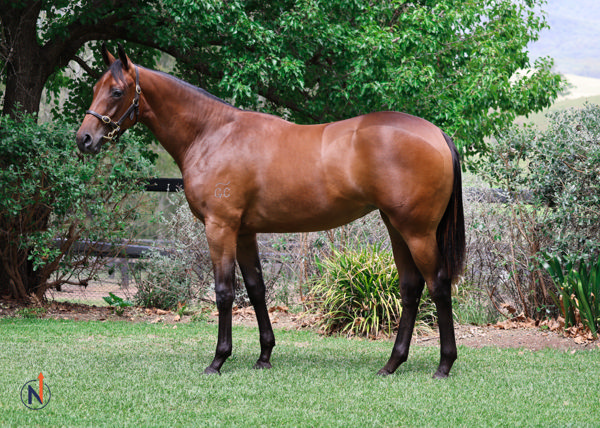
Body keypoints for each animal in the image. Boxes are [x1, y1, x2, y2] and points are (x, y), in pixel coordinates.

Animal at [76, 43, 464, 378]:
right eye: (95, 87)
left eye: (116, 91)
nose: (84, 139)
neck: (213, 134)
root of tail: (438, 134)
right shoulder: (244, 231)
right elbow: (256, 288)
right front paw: (264, 355)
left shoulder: (220, 227)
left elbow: (224, 291)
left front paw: (218, 360)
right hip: (397, 227)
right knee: (411, 288)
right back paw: (392, 364)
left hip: (416, 231)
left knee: (438, 285)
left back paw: (443, 365)